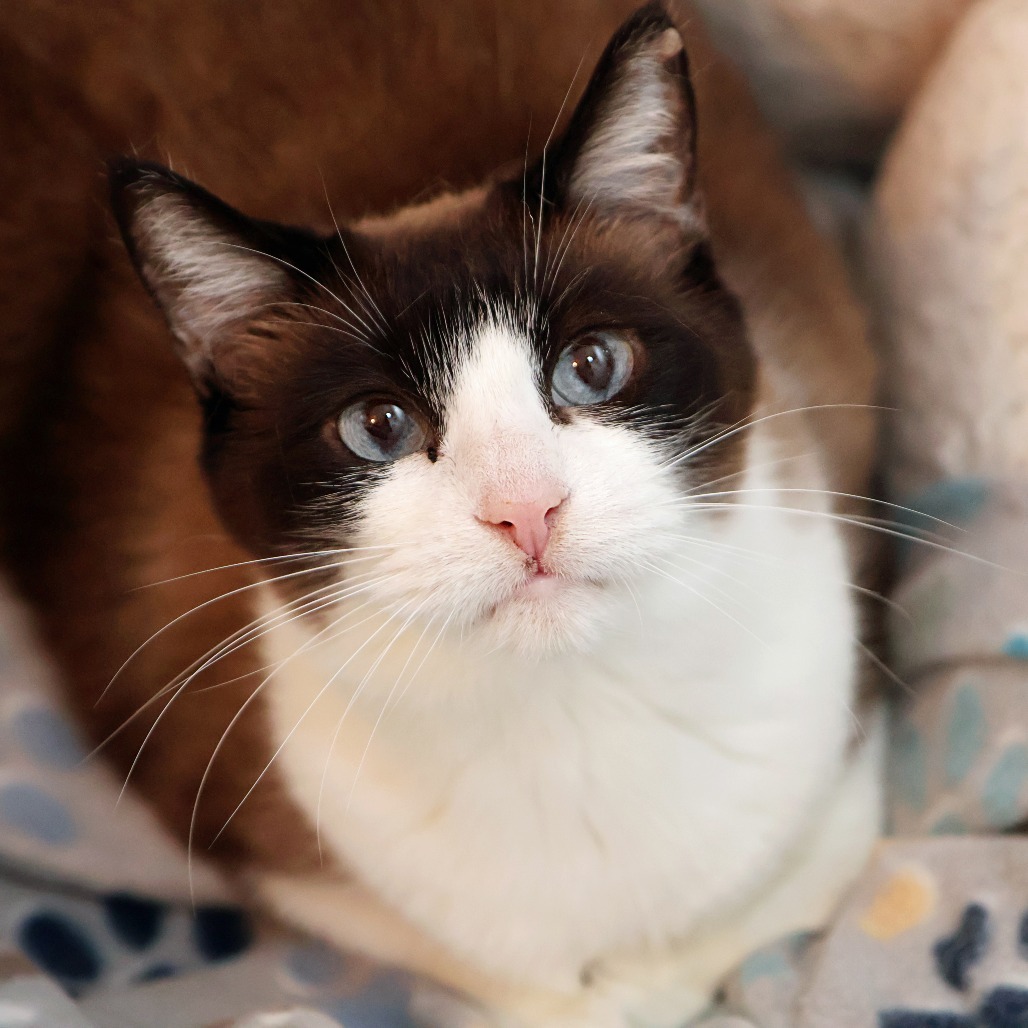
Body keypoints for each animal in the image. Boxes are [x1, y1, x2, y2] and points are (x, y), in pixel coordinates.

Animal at [4, 2, 879, 1028]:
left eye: (592, 367)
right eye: (379, 427)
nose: (526, 510)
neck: (567, 718)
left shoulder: (848, 753)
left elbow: (743, 922)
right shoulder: (269, 841)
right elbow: (530, 983)